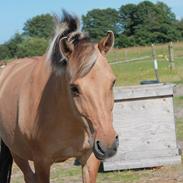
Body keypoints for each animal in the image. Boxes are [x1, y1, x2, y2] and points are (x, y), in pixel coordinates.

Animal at [0, 11, 118, 183]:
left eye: (113, 82)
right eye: (74, 88)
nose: (108, 144)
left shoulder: (90, 158)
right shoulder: (42, 162)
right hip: (18, 154)